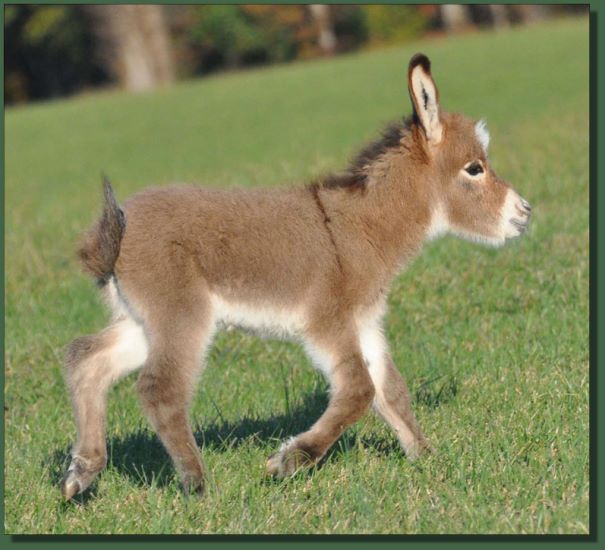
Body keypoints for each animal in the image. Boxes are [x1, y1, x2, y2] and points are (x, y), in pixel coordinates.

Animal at [61, 55, 528, 500]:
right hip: (182, 315)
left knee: (86, 359)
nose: (524, 214)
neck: (361, 229)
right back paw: (198, 484)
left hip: (144, 321)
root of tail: (116, 231)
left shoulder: (364, 323)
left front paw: (427, 456)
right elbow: (359, 390)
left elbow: (390, 389)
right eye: (474, 168)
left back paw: (82, 473)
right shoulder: (328, 322)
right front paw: (291, 460)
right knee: (160, 389)